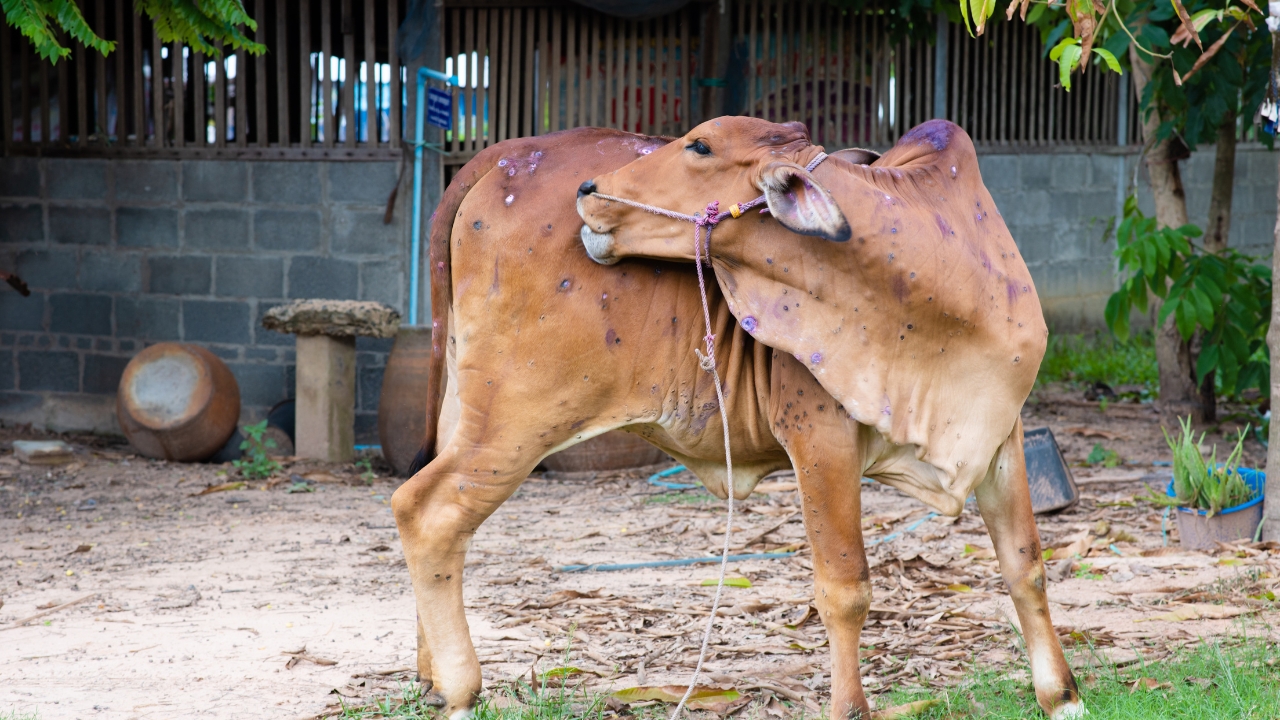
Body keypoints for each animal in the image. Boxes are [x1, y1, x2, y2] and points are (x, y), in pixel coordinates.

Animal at [392, 127, 893, 718]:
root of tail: (510, 152)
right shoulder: (823, 433)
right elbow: (846, 583)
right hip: (516, 418)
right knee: (427, 510)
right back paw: (460, 685)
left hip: (465, 402)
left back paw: (430, 677)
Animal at [576, 117, 1082, 719]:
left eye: (699, 145)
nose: (588, 189)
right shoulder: (819, 437)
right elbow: (845, 589)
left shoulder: (1000, 428)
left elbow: (1026, 565)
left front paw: (1063, 696)